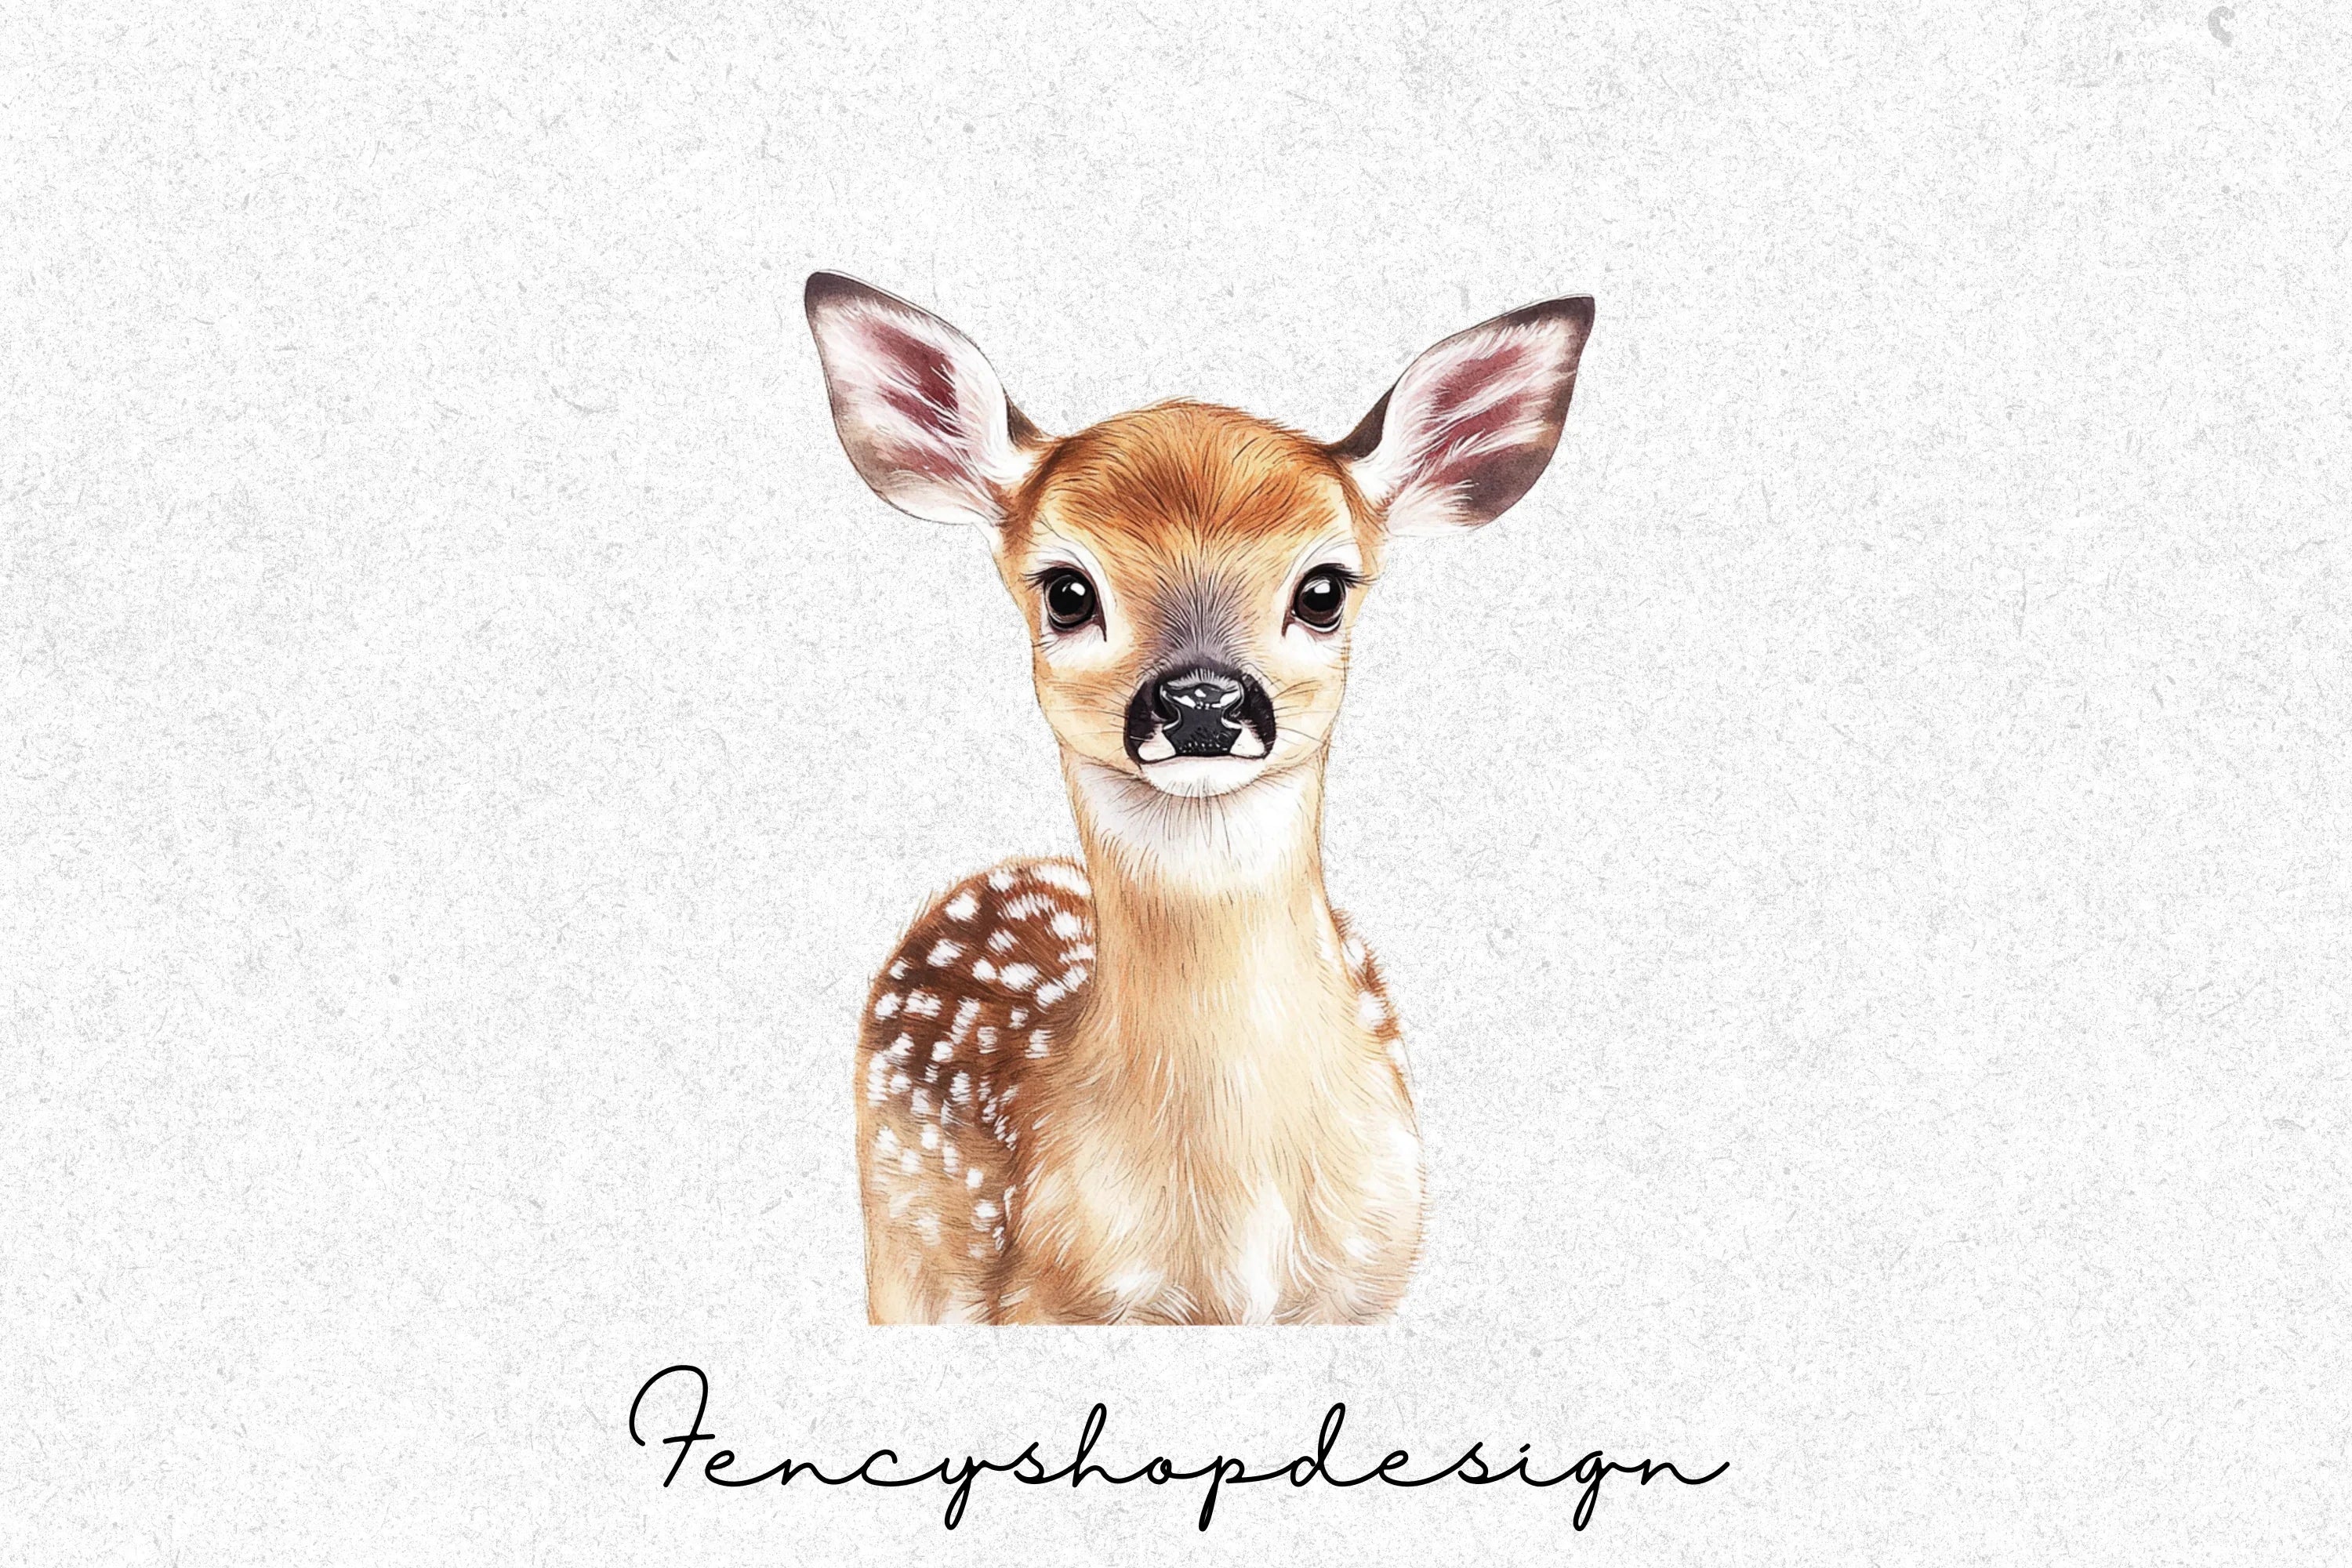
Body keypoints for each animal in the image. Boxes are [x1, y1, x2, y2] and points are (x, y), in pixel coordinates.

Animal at [805, 271, 1594, 1324]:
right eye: (1066, 590)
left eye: (1323, 588)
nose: (1203, 700)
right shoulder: (1048, 1302)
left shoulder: (1365, 1284)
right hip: (901, 1257)